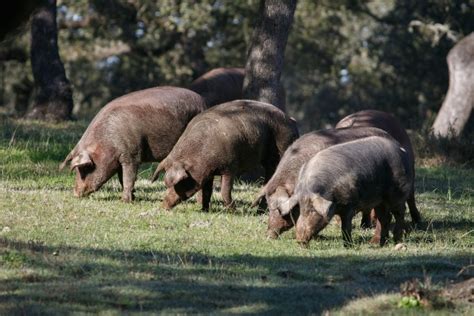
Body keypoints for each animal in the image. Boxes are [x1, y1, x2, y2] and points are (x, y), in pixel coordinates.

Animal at [58, 85, 206, 201]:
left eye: (84, 168)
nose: (75, 193)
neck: (106, 143)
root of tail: (202, 101)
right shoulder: (119, 159)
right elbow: (121, 179)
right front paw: (132, 197)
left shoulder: (132, 154)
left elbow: (128, 177)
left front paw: (125, 201)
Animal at [150, 100, 298, 211]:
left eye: (179, 183)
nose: (163, 206)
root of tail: (291, 120)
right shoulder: (207, 173)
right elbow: (207, 191)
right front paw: (204, 210)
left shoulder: (230, 167)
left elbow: (224, 191)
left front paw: (234, 211)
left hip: (282, 145)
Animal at [280, 136, 412, 247]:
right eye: (301, 209)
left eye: (312, 210)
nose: (299, 240)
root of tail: (401, 149)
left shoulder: (349, 204)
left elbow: (346, 226)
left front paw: (348, 246)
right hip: (379, 200)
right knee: (385, 218)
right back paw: (377, 243)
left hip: (398, 192)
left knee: (399, 213)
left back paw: (397, 241)